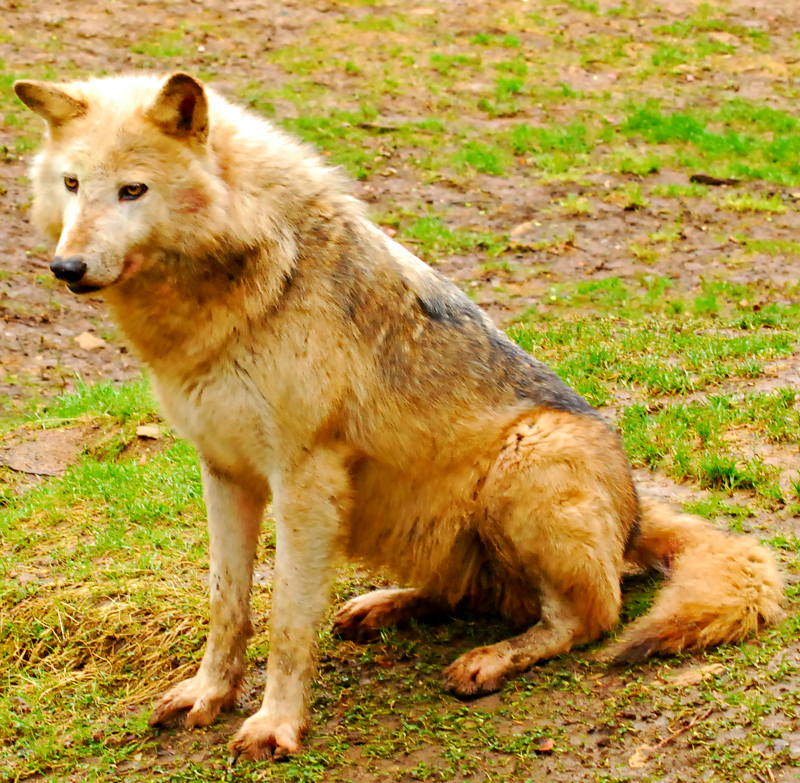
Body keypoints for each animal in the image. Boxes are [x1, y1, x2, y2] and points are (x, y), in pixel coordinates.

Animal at [14, 72, 783, 760]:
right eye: (73, 184)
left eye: (133, 190)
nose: (67, 268)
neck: (236, 285)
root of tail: (636, 514)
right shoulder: (223, 471)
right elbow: (227, 605)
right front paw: (209, 696)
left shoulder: (303, 479)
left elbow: (287, 620)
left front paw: (275, 727)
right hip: (405, 514)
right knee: (471, 592)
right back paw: (385, 605)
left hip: (522, 464)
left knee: (591, 612)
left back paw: (491, 658)